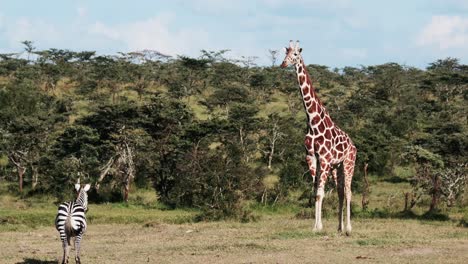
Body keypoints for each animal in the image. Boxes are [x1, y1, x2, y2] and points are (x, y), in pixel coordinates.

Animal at [282, 40, 354, 234]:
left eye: (296, 55)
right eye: (286, 53)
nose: (283, 64)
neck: (312, 120)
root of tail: (353, 144)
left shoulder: (324, 159)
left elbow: (321, 193)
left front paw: (319, 226)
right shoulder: (311, 157)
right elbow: (315, 193)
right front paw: (316, 226)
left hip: (348, 163)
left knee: (348, 192)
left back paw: (349, 228)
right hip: (336, 167)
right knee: (340, 192)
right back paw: (339, 227)